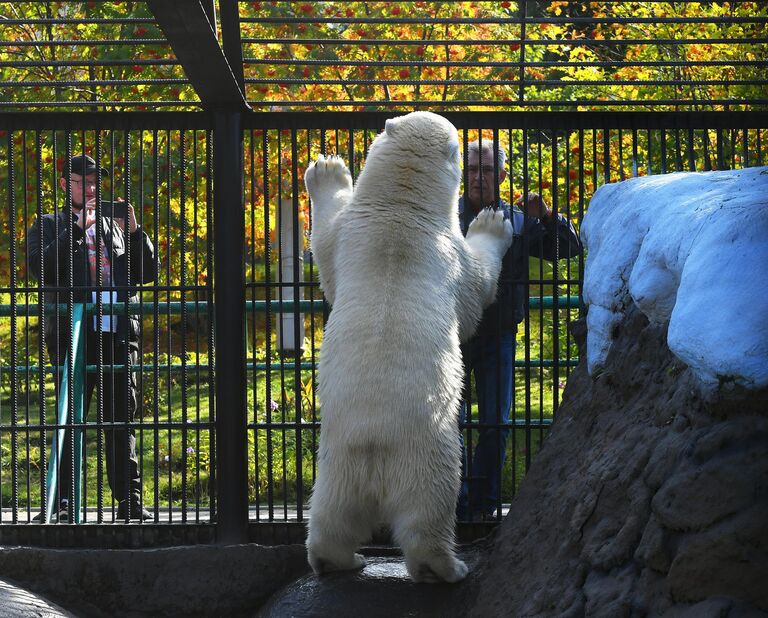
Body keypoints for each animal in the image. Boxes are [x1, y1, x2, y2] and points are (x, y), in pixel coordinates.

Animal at [304, 112, 512, 584]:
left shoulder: (352, 233)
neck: (398, 210)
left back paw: (338, 559)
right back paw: (446, 567)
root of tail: (374, 450)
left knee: (331, 514)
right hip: (428, 456)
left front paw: (325, 169)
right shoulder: (450, 251)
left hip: (336, 462)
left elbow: (326, 251)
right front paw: (492, 222)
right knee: (428, 513)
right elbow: (476, 293)